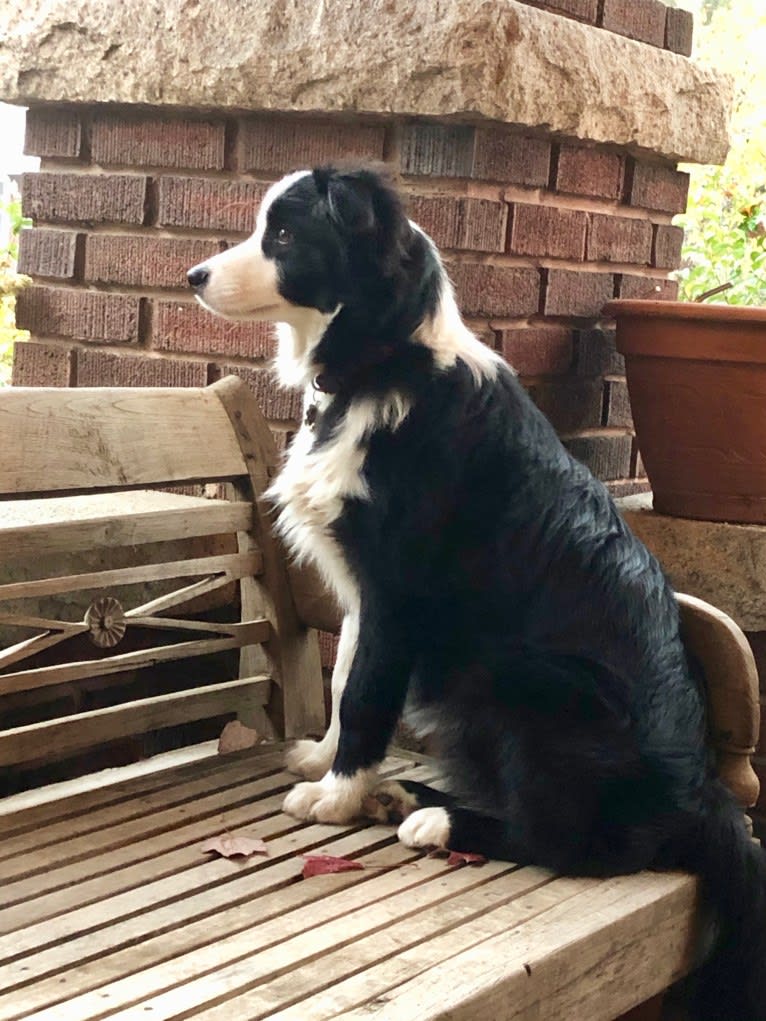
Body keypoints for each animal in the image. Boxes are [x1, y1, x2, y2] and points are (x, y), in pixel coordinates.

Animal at [190, 163, 766, 1016]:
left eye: (284, 235)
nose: (193, 276)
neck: (383, 361)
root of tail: (704, 796)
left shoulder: (397, 595)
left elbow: (366, 694)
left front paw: (335, 796)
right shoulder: (360, 593)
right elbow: (342, 681)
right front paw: (327, 763)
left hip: (512, 680)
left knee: (575, 843)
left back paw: (433, 821)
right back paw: (406, 796)